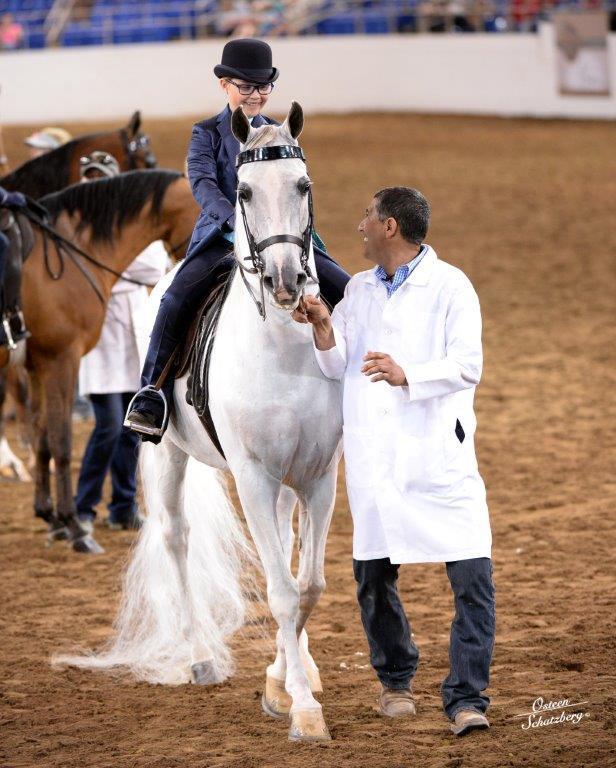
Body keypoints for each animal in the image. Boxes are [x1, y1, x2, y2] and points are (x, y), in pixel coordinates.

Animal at [0, 170, 199, 552]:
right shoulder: (62, 359)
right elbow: (62, 442)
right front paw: (75, 527)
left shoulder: (38, 364)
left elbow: (44, 438)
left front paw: (52, 519)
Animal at [58, 103, 343, 743]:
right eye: (243, 190)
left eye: (304, 185)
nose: (285, 281)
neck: (284, 347)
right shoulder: (253, 474)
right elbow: (282, 593)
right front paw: (300, 709)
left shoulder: (318, 474)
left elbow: (308, 585)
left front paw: (286, 680)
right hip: (169, 454)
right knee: (176, 536)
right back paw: (200, 659)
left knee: (284, 548)